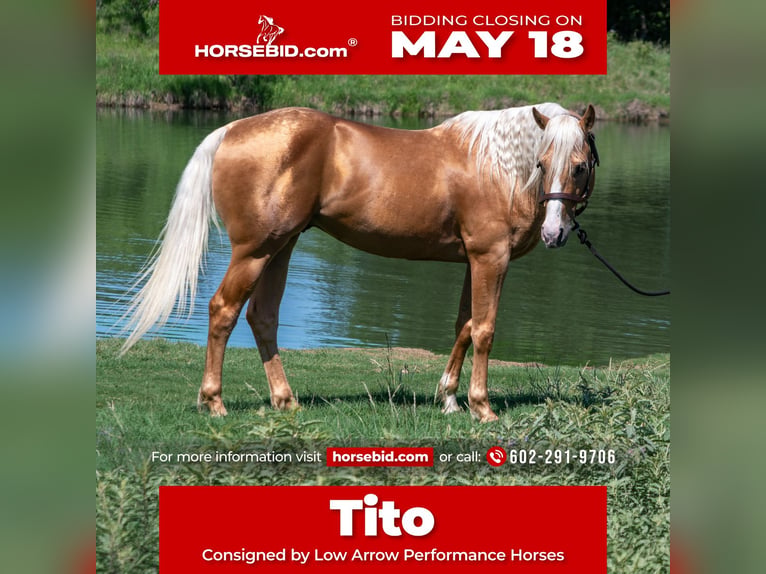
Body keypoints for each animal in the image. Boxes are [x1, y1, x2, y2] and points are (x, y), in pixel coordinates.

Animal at [121, 103, 598, 422]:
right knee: (224, 310)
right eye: (542, 163)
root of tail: (231, 129)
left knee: (262, 316)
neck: (496, 166)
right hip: (254, 251)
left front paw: (447, 398)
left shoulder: (472, 260)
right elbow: (483, 330)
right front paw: (482, 408)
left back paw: (285, 400)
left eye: (578, 166)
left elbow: (463, 326)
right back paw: (215, 401)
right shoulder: (490, 257)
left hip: (281, 246)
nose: (554, 233)